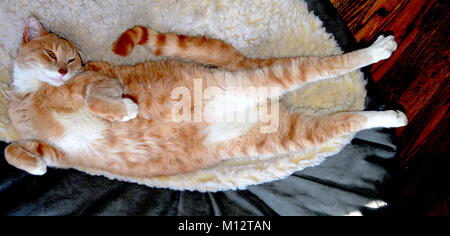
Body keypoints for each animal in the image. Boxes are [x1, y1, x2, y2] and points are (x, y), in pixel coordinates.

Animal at [5, 18, 406, 180]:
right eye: (51, 54)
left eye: (71, 59)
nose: (62, 71)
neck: (33, 94)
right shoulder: (58, 152)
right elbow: (14, 150)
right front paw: (34, 167)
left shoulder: (103, 78)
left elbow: (94, 98)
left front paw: (124, 110)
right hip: (288, 133)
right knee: (345, 120)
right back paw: (389, 117)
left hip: (272, 78)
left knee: (326, 66)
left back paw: (377, 50)